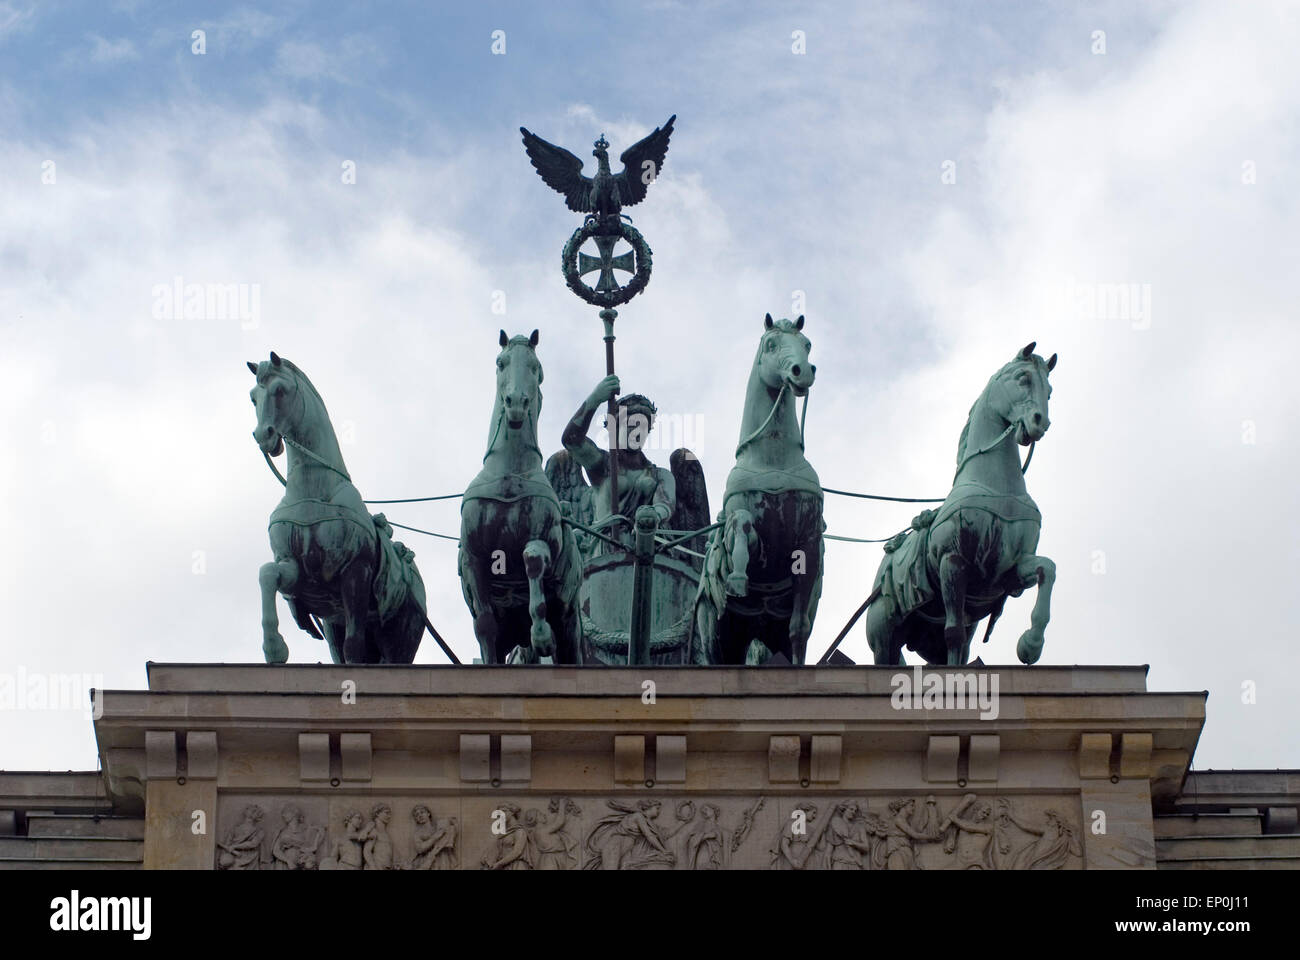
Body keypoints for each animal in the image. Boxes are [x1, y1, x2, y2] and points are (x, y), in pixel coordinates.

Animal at [457, 329, 579, 666]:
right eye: (501, 363)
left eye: (536, 367)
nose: (515, 403)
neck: (509, 475)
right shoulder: (473, 557)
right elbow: (485, 624)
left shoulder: (545, 539)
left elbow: (532, 559)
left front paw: (542, 635)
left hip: (569, 622)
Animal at [691, 310, 821, 660]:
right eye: (771, 344)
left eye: (807, 344)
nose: (802, 371)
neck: (773, 460)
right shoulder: (747, 526)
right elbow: (741, 524)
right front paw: (736, 576)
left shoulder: (809, 540)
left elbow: (799, 630)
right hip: (717, 634)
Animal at [863, 343, 1055, 666]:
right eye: (1023, 378)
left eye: (1050, 391)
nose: (1040, 423)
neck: (994, 485)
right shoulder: (952, 561)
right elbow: (953, 633)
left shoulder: (1010, 568)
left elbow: (1048, 569)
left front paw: (1031, 644)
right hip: (883, 636)